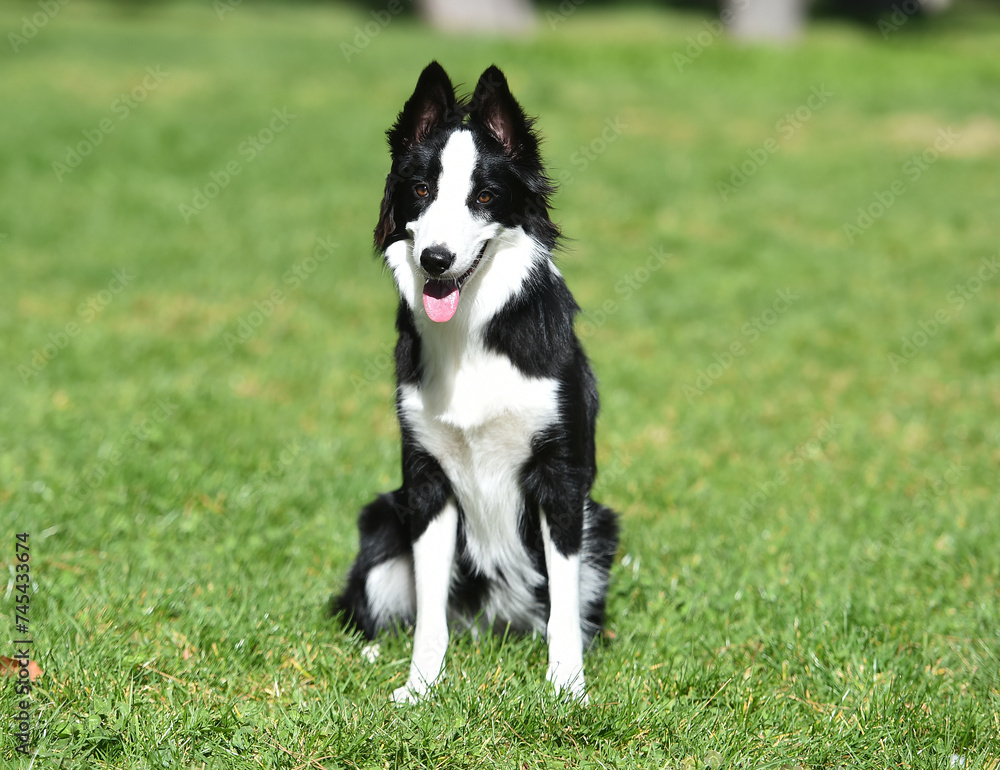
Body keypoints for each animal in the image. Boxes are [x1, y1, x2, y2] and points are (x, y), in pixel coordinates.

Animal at [336, 61, 616, 704]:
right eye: (420, 191)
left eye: (484, 197)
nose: (436, 259)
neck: (470, 331)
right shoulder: (427, 480)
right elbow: (429, 615)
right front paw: (420, 689)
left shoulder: (561, 480)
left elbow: (564, 610)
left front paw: (567, 688)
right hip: (382, 521)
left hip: (602, 525)